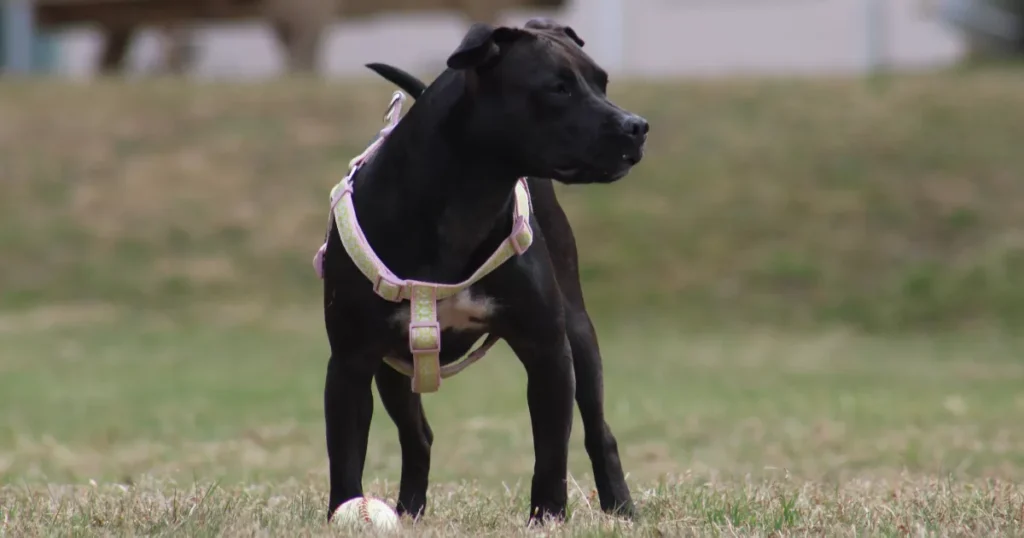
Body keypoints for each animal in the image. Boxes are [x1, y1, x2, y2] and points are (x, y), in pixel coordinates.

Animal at [321, 18, 647, 522]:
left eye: (603, 82)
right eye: (558, 88)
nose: (637, 126)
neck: (467, 202)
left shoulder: (548, 350)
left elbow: (551, 452)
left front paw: (547, 518)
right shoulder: (351, 363)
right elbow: (346, 457)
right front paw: (346, 512)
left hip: (580, 334)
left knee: (599, 430)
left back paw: (620, 507)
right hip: (395, 367)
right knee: (417, 436)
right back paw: (410, 512)